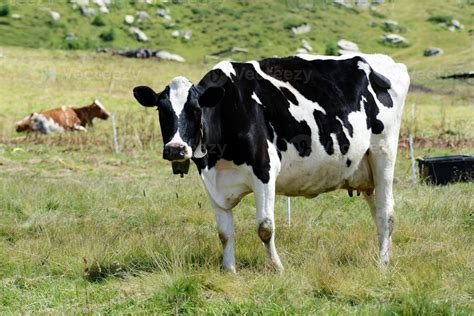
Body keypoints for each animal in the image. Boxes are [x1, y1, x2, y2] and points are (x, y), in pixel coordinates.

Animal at [134, 53, 412, 272]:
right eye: (161, 110)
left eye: (195, 109)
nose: (175, 149)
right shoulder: (213, 182)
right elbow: (224, 233)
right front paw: (229, 269)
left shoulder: (264, 171)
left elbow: (265, 227)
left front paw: (277, 267)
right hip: (365, 170)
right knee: (378, 213)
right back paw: (383, 255)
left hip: (383, 153)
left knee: (387, 213)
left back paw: (383, 262)